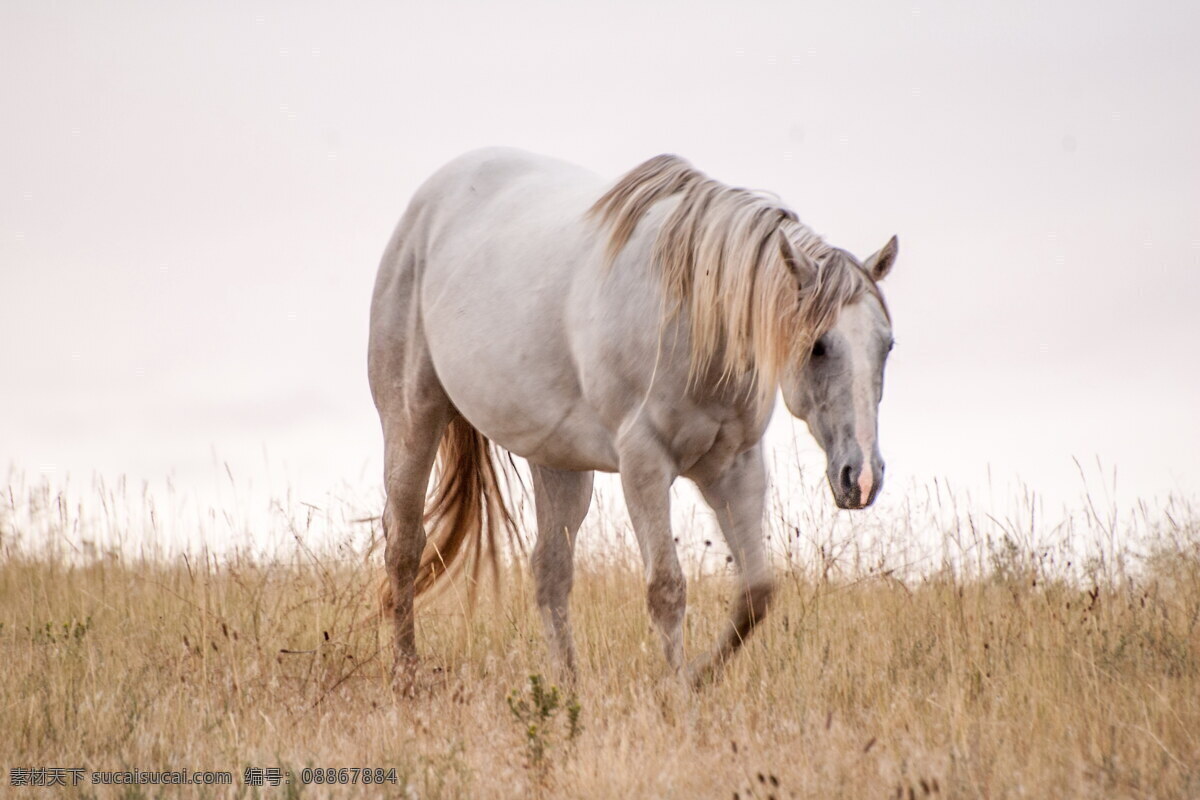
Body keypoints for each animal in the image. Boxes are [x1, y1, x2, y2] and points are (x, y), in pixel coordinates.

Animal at [369, 146, 897, 686]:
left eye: (888, 345)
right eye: (818, 346)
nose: (862, 478)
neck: (693, 318)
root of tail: (428, 204)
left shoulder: (736, 466)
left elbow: (756, 592)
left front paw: (697, 677)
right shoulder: (644, 464)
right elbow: (667, 589)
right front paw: (676, 690)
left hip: (558, 463)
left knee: (550, 572)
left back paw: (567, 686)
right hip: (413, 419)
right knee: (404, 546)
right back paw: (406, 673)